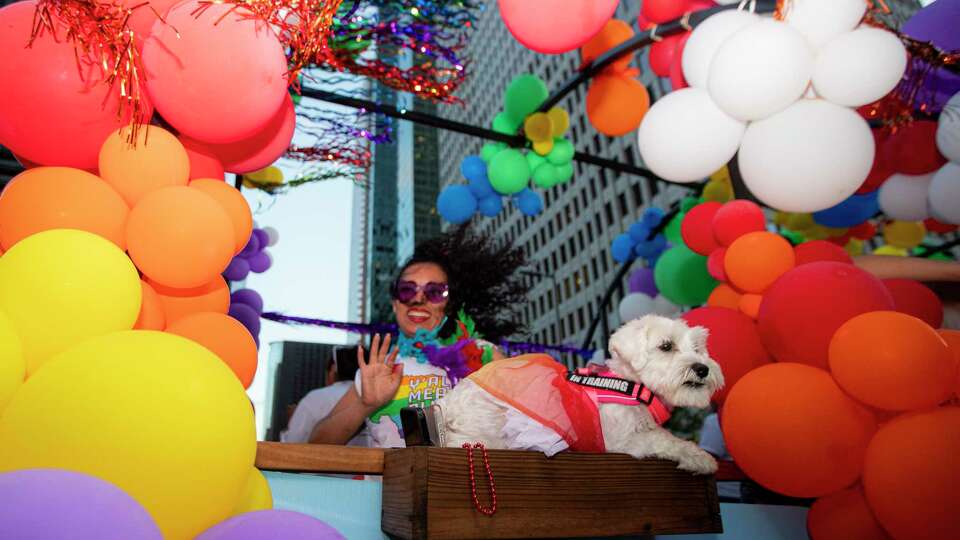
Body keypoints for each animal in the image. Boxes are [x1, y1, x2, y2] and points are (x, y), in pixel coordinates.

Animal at [432, 314, 724, 474]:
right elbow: (665, 439)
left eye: (698, 348)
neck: (630, 386)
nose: (702, 368)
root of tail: (448, 405)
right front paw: (700, 458)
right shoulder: (620, 441)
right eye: (666, 346)